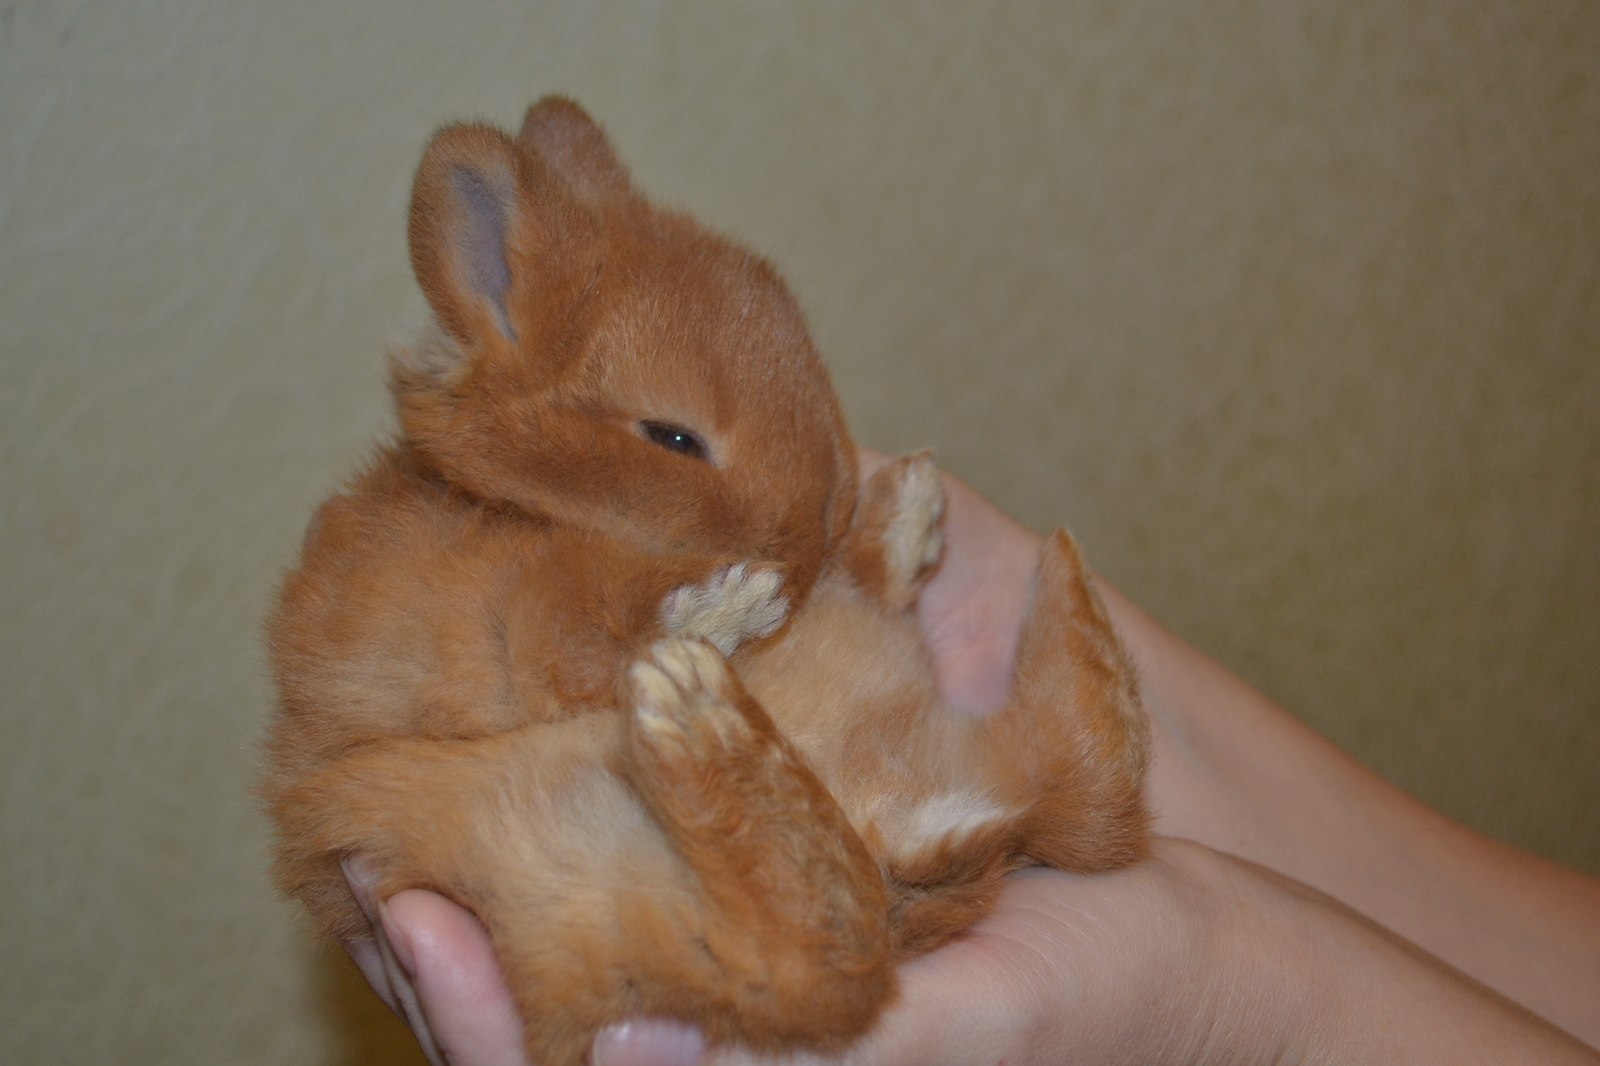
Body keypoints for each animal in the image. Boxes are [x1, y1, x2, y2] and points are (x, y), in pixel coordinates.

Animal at [262, 97, 1145, 1062]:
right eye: (672, 437)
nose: (812, 534)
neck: (530, 505)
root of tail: (936, 828)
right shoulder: (506, 621)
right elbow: (583, 624)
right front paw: (725, 605)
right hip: (621, 917)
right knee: (815, 953)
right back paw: (700, 704)